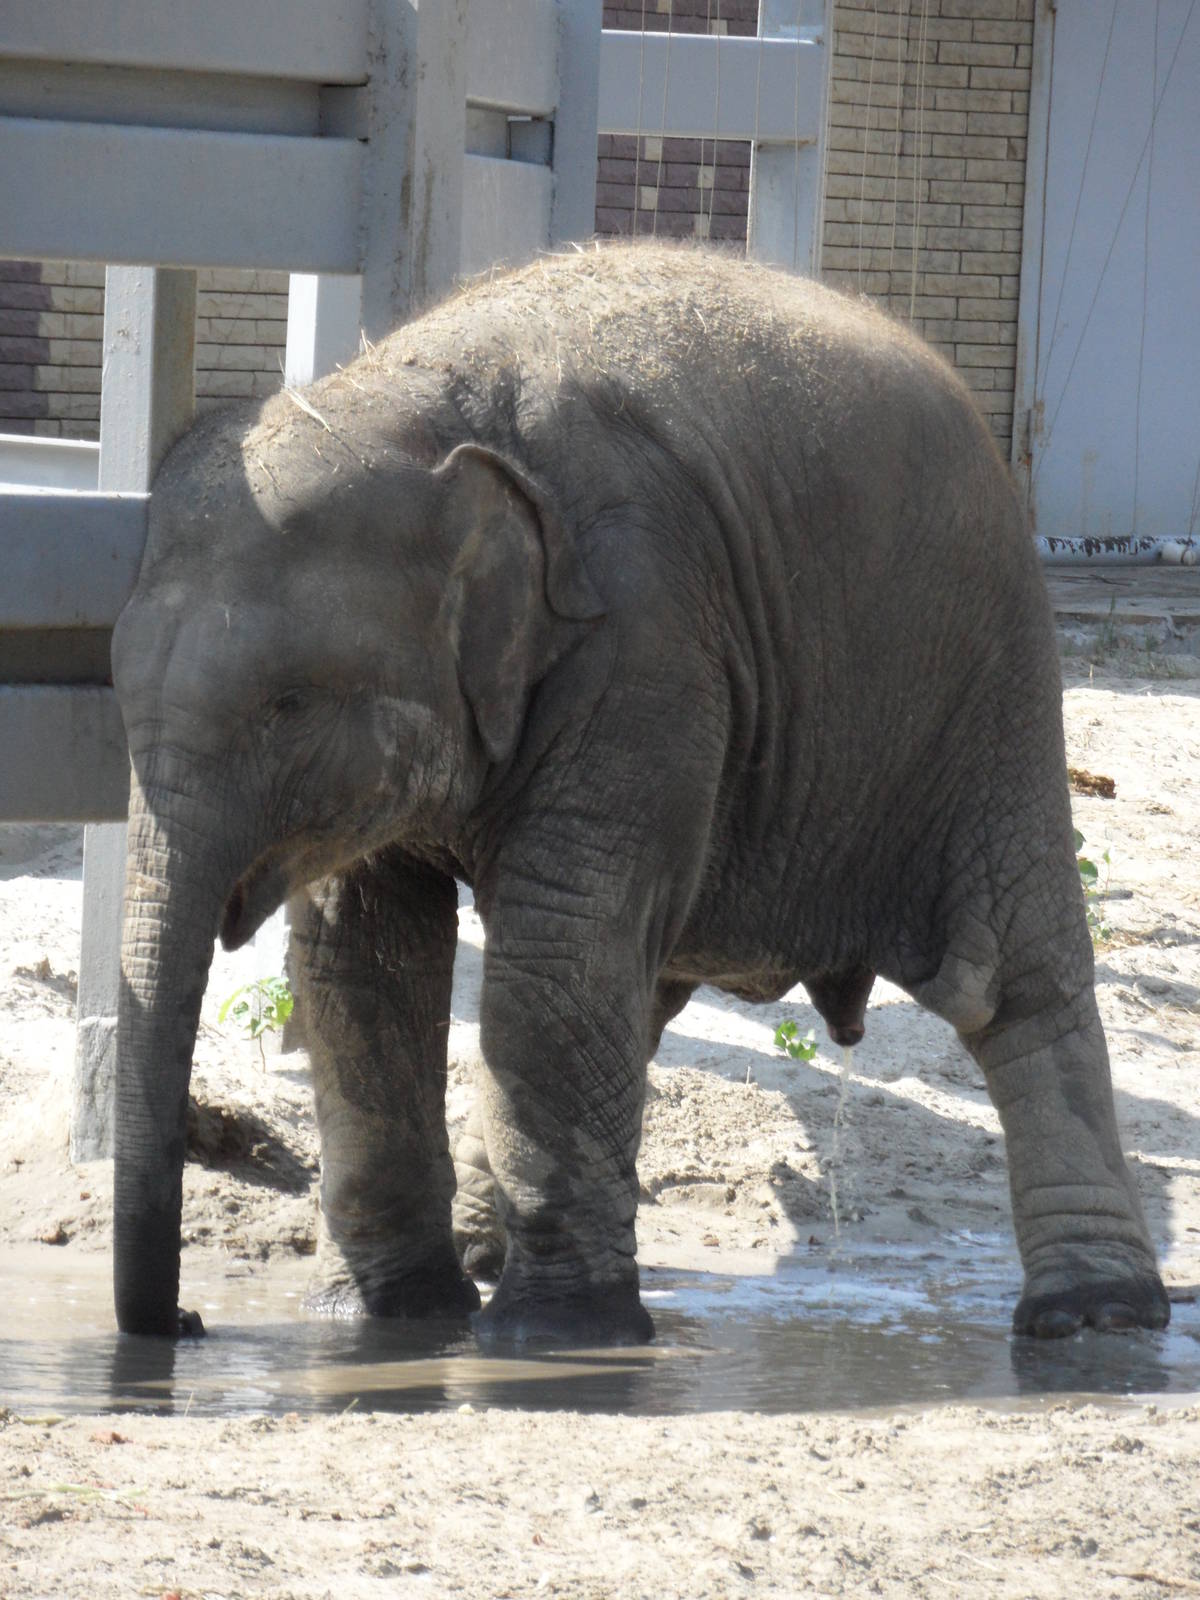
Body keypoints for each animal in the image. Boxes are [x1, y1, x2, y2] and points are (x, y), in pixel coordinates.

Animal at [109, 241, 1169, 1346]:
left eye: (286, 705)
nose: (187, 1323)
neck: (407, 407)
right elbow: (362, 954)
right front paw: (389, 1321)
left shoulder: (647, 641)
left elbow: (555, 942)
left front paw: (552, 1340)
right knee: (643, 980)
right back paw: (483, 1253)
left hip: (991, 690)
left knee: (1014, 981)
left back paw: (1095, 1318)